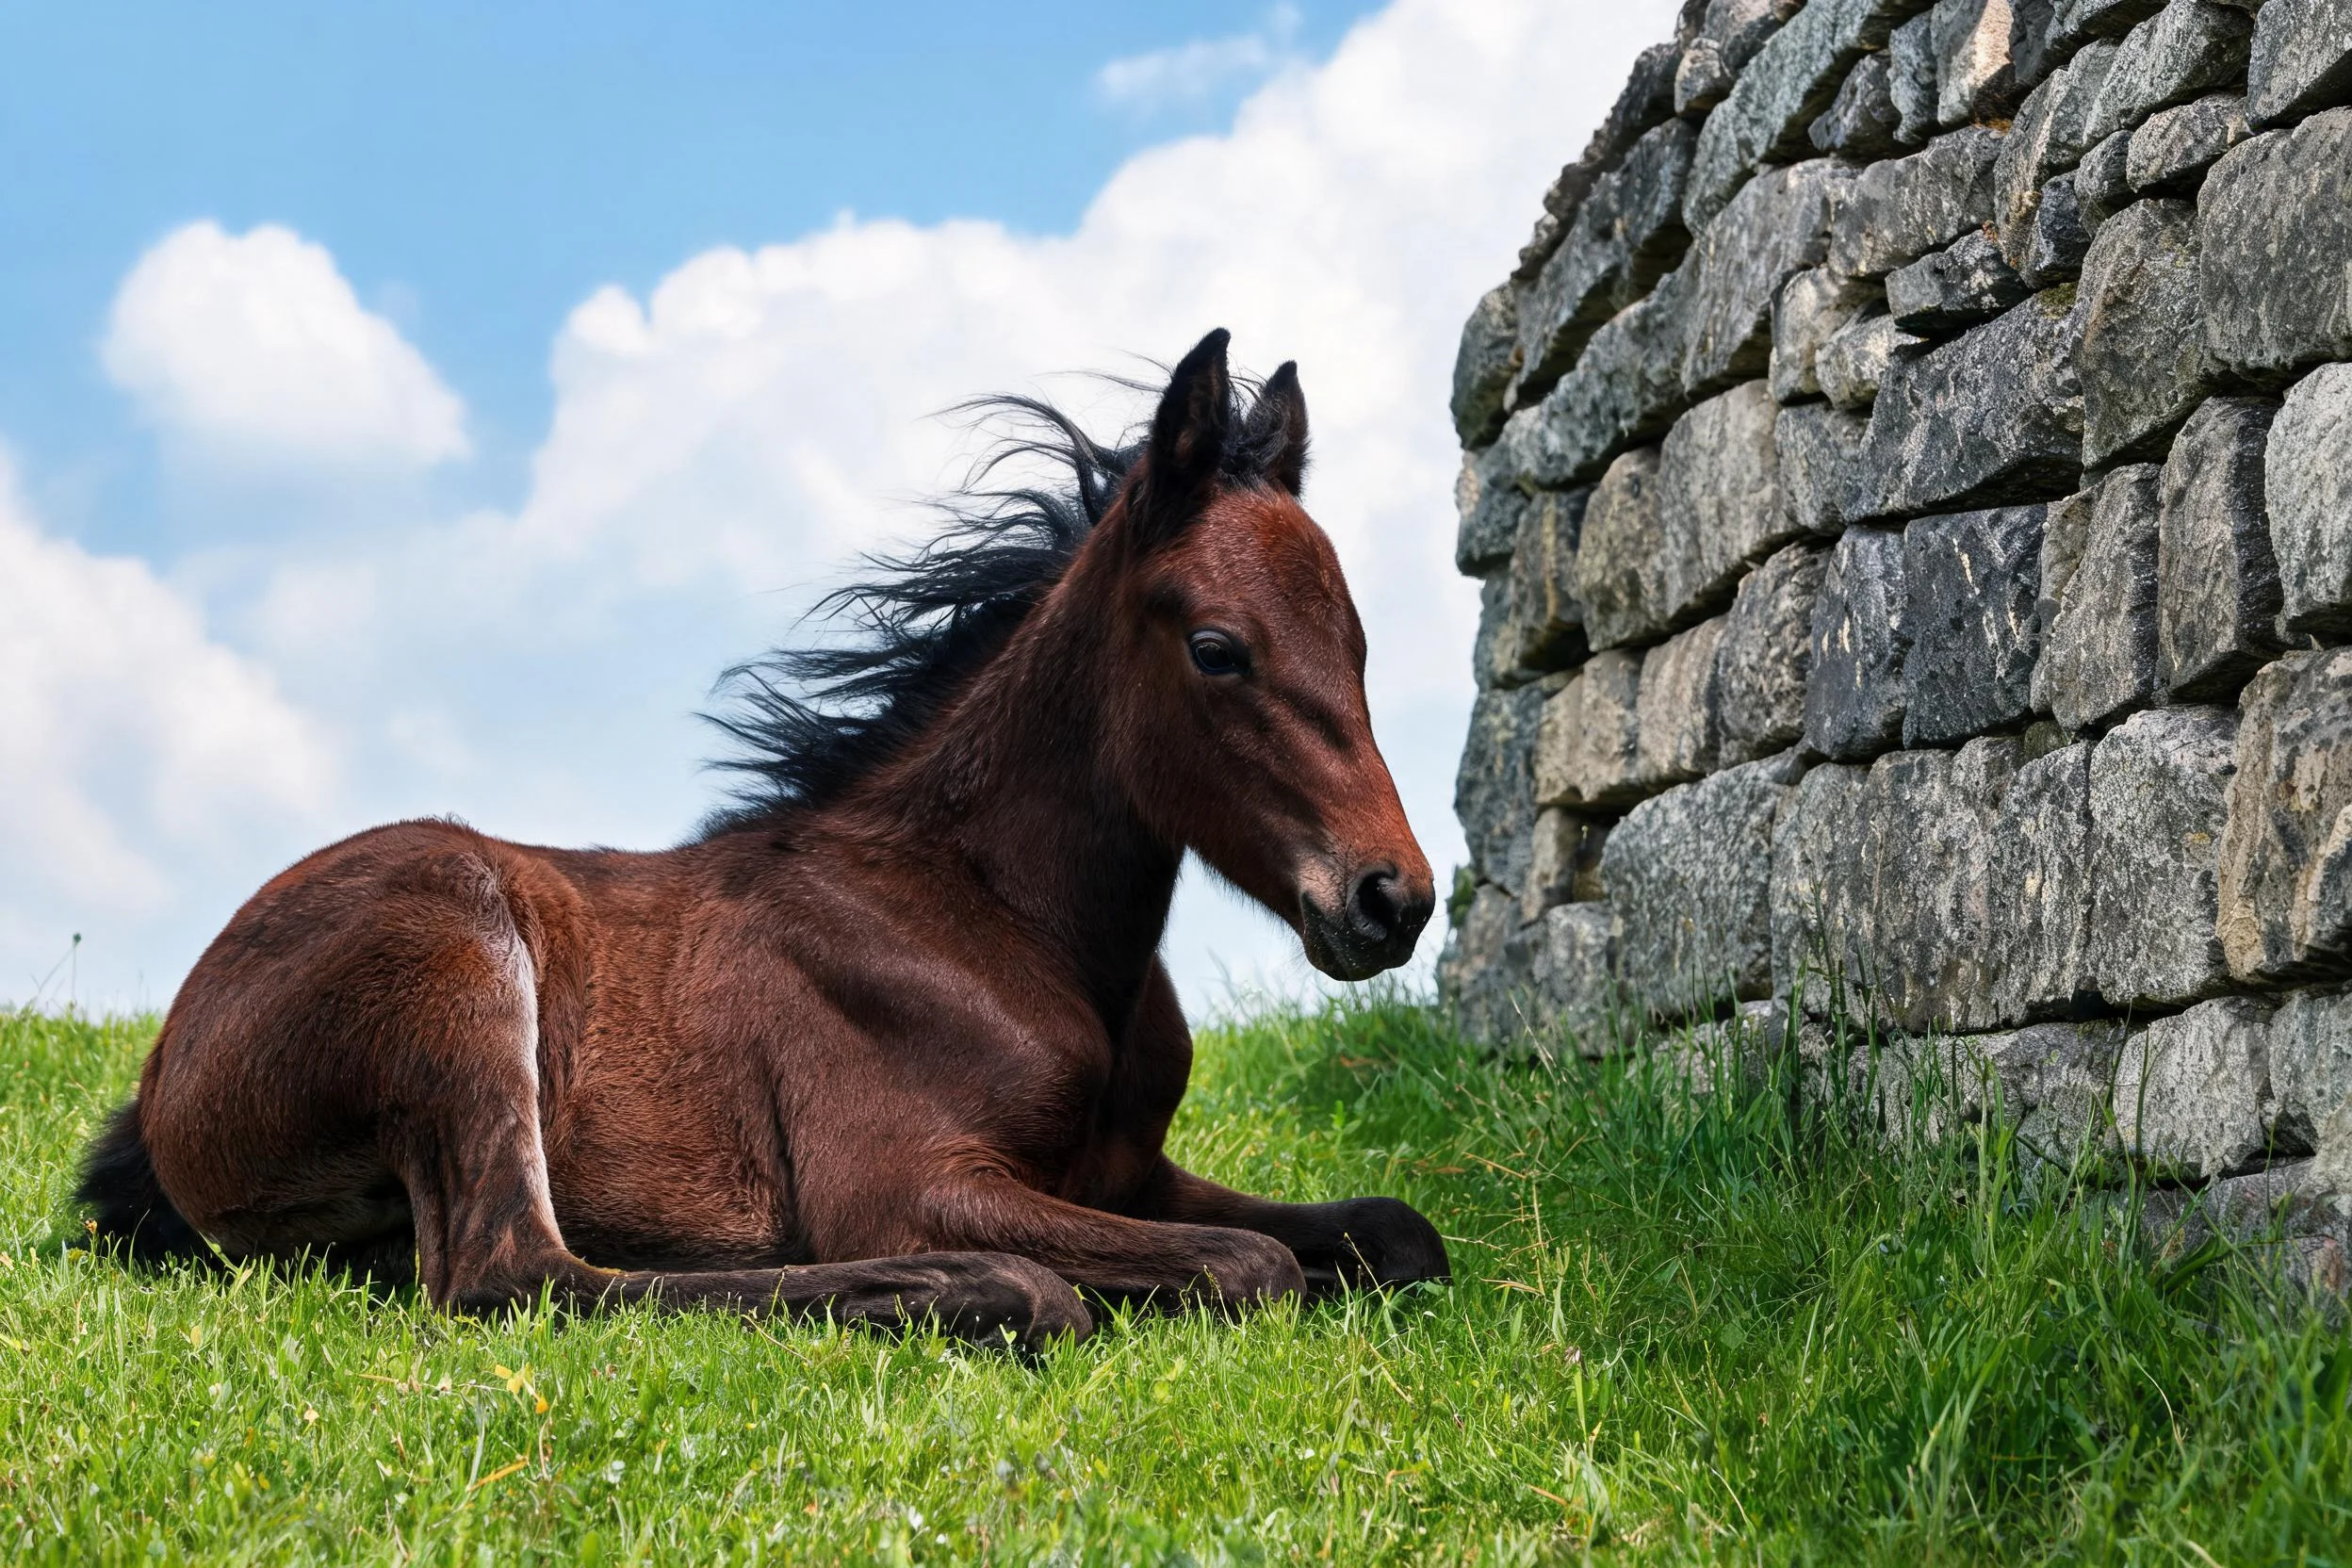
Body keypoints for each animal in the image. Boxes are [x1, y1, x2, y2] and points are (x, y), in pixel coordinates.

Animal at [77, 329, 1445, 1350]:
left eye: (1360, 643)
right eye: (1218, 649)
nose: (1392, 898)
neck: (984, 918)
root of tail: (165, 1069)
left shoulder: (1126, 1175)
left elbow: (1395, 1230)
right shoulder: (907, 1179)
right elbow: (1250, 1263)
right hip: (455, 955)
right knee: (515, 1271)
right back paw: (955, 1289)